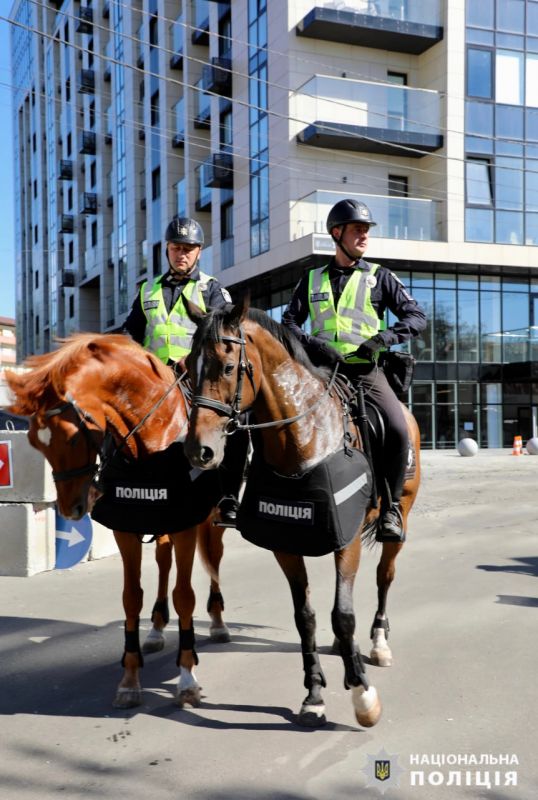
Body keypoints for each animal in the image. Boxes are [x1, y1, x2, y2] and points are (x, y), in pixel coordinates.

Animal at [6, 334, 228, 708]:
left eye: (73, 436)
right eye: (36, 441)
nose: (71, 509)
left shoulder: (185, 525)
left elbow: (185, 596)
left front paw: (186, 677)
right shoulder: (127, 528)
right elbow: (131, 597)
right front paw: (129, 678)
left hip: (211, 520)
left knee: (213, 559)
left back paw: (217, 621)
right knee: (163, 559)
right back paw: (156, 627)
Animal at [184, 296, 418, 728]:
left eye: (227, 367)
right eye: (189, 367)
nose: (198, 450)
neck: (304, 435)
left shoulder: (347, 540)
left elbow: (343, 614)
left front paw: (363, 695)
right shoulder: (286, 545)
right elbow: (306, 617)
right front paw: (314, 694)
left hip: (401, 515)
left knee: (385, 576)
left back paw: (378, 643)